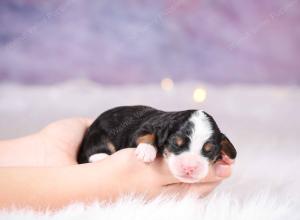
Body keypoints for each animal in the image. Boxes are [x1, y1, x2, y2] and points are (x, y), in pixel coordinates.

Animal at [76, 105, 236, 183]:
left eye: (209, 150)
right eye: (176, 143)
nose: (189, 168)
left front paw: (226, 157)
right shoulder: (143, 128)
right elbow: (147, 135)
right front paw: (146, 150)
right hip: (97, 134)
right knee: (93, 150)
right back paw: (102, 157)